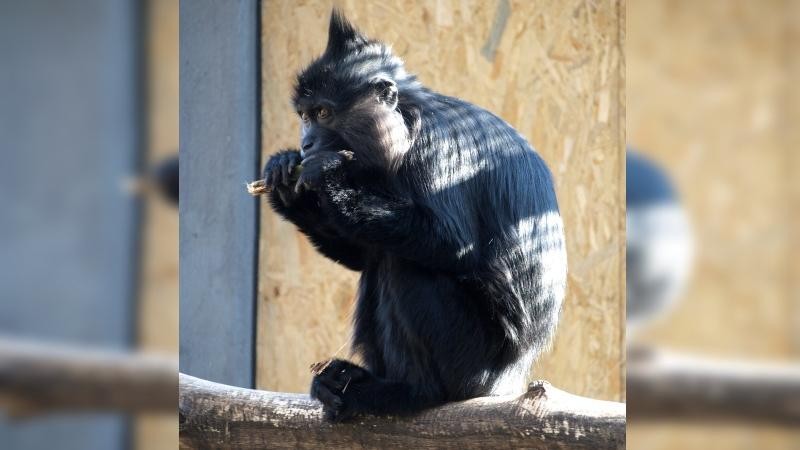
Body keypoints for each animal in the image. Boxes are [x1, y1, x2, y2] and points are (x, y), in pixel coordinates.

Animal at [262, 11, 568, 422]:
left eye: (323, 113)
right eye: (304, 116)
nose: (306, 143)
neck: (403, 122)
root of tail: (509, 377)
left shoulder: (434, 147)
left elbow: (452, 243)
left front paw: (326, 176)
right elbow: (360, 257)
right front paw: (286, 181)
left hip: (472, 357)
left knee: (405, 264)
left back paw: (411, 393)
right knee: (379, 258)